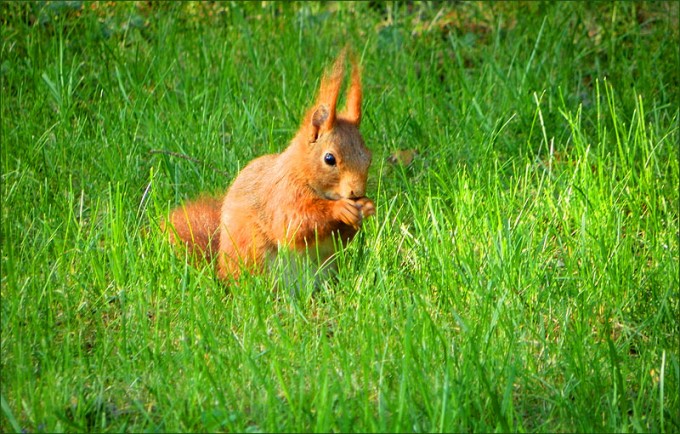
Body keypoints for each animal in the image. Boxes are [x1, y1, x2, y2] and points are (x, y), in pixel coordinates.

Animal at [166, 49, 375, 281]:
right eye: (329, 159)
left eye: (368, 157)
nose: (357, 191)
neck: (302, 173)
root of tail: (221, 271)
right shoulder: (282, 194)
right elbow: (293, 225)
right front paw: (340, 209)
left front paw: (366, 207)